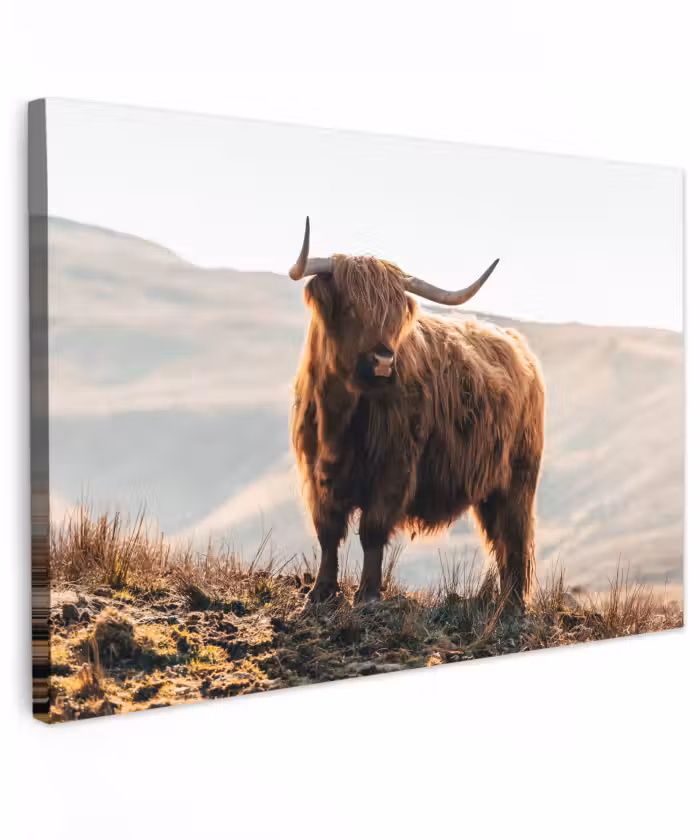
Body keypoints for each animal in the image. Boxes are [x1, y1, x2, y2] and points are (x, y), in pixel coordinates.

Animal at [289, 218, 545, 607]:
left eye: (395, 317)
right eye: (350, 309)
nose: (383, 360)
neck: (340, 415)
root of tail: (517, 344)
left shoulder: (394, 468)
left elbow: (372, 530)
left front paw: (367, 595)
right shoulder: (317, 473)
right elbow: (328, 532)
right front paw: (321, 592)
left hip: (518, 479)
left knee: (513, 539)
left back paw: (511, 605)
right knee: (501, 541)